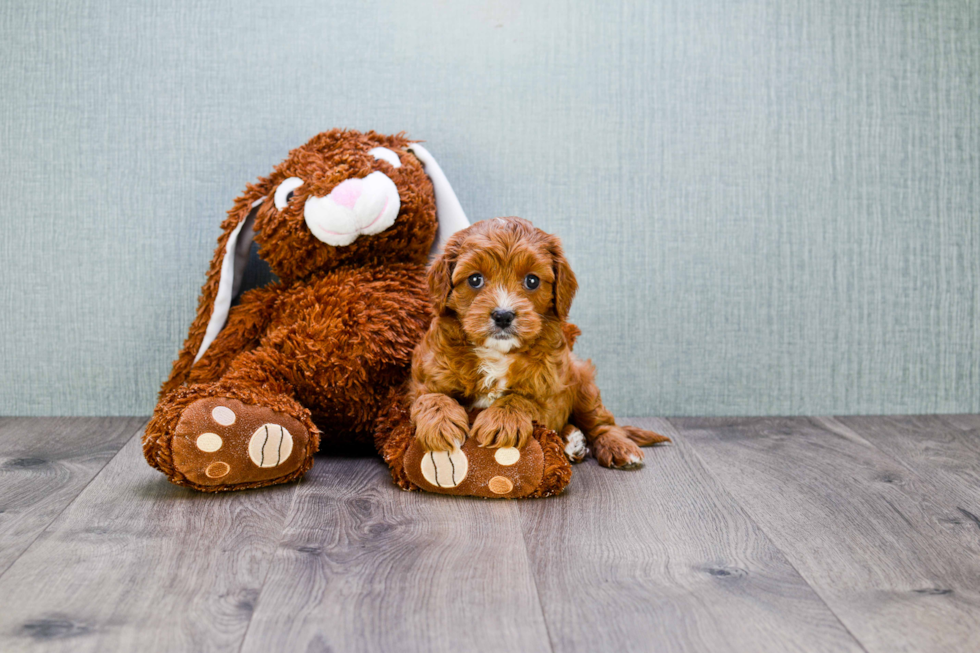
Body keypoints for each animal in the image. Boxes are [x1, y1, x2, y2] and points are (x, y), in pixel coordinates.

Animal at [410, 218, 668, 468]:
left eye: (532, 281)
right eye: (475, 279)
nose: (503, 315)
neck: (497, 352)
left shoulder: (550, 393)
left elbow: (521, 399)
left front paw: (503, 420)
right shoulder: (426, 377)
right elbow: (432, 397)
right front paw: (440, 425)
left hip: (582, 381)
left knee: (601, 422)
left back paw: (616, 446)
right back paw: (573, 442)